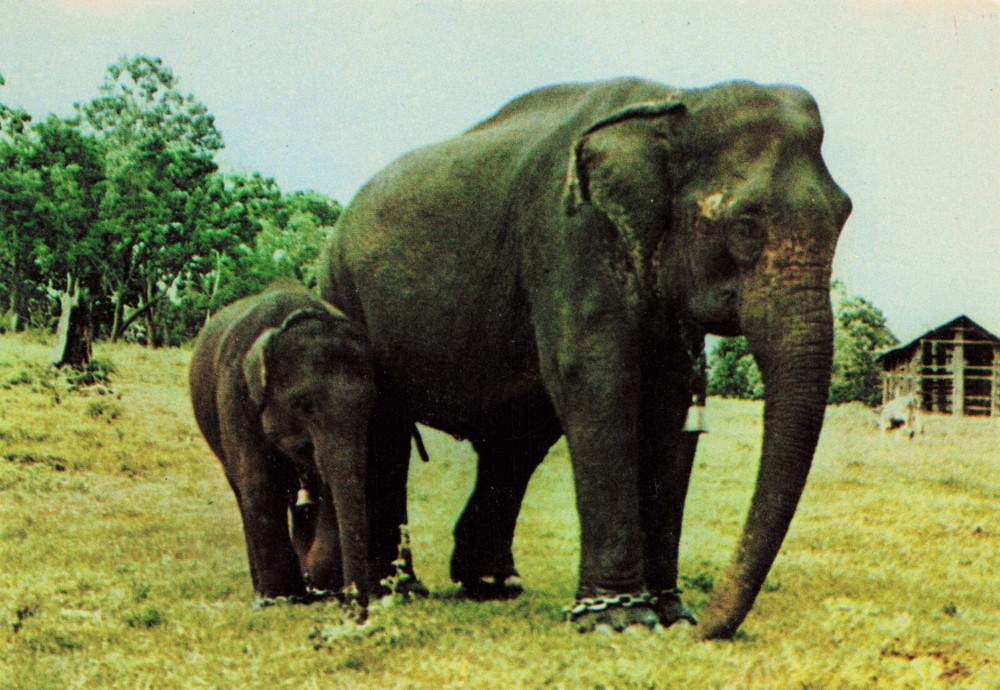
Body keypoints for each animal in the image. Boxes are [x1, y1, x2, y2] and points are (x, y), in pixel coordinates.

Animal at [189, 281, 375, 611]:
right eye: (303, 405)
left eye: (370, 404)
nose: (355, 609)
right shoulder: (236, 394)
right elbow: (260, 483)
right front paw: (281, 597)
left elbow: (327, 485)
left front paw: (319, 583)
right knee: (242, 490)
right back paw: (263, 591)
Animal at [319, 77, 851, 638]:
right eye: (746, 223)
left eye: (844, 214)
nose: (706, 627)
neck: (678, 102)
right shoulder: (569, 234)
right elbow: (595, 381)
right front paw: (622, 621)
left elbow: (671, 406)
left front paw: (670, 613)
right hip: (343, 291)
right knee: (386, 432)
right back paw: (396, 589)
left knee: (515, 441)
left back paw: (490, 585)